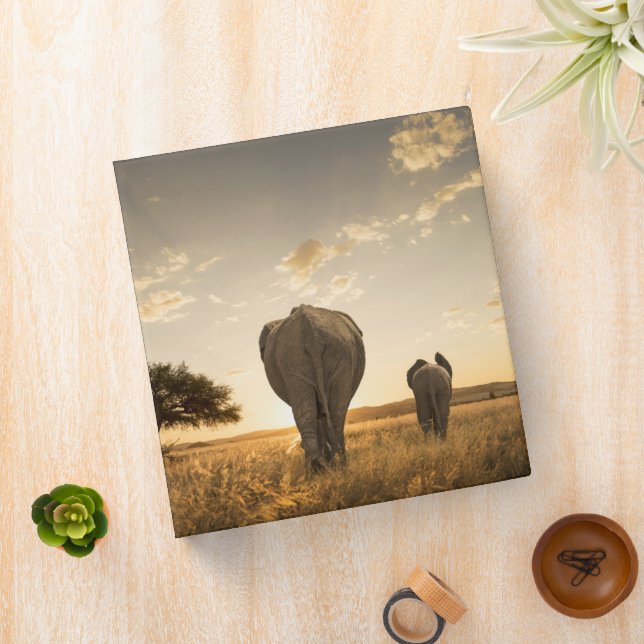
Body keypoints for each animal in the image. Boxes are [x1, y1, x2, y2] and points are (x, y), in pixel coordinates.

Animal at [259, 304, 365, 472]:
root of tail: (311, 333)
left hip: (319, 354)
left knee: (324, 411)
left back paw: (323, 465)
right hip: (302, 357)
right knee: (328, 411)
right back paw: (328, 464)